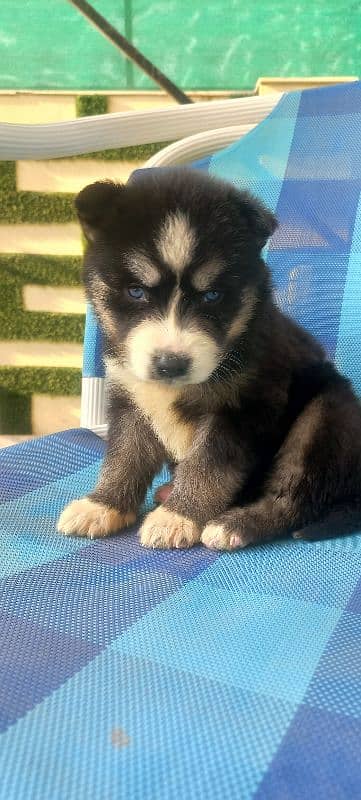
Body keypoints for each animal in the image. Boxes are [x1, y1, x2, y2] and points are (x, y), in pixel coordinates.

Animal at [57, 166, 361, 548]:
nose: (170, 364)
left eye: (212, 295)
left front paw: (178, 517)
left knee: (295, 497)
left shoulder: (241, 407)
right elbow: (124, 456)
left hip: (327, 416)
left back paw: (235, 525)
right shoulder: (131, 398)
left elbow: (208, 466)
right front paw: (103, 505)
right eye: (136, 291)